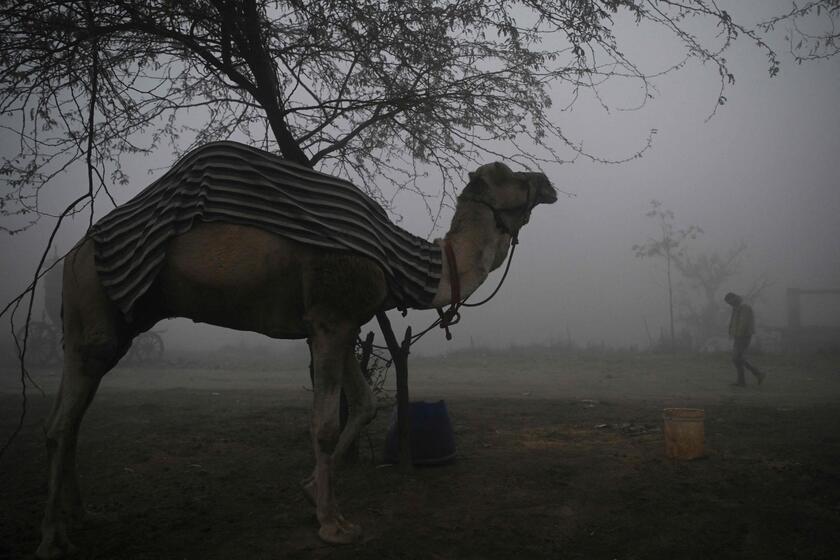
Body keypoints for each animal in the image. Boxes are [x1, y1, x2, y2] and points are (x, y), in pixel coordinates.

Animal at [34, 154, 556, 560]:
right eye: (510, 173)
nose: (547, 181)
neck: (402, 262)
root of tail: (72, 255)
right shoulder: (330, 319)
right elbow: (323, 424)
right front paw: (333, 524)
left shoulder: (340, 324)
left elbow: (365, 404)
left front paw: (309, 492)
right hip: (96, 310)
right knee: (59, 423)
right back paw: (53, 539)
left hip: (103, 324)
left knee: (73, 416)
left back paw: (84, 515)